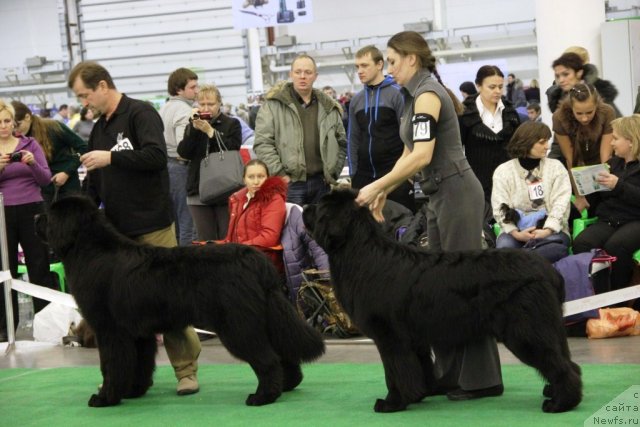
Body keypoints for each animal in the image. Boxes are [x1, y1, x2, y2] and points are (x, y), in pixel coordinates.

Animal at [35, 196, 324, 408]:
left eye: (50, 214)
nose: (36, 217)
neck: (91, 250)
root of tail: (255, 259)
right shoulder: (138, 333)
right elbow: (139, 364)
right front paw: (133, 391)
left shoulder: (110, 329)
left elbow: (111, 366)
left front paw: (105, 398)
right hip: (263, 318)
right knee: (282, 353)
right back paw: (286, 385)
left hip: (237, 325)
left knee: (267, 358)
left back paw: (263, 397)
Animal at [302, 190, 584, 414]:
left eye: (320, 207)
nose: (304, 206)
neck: (360, 253)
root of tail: (548, 269)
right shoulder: (413, 339)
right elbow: (418, 367)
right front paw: (417, 394)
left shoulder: (390, 336)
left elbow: (394, 372)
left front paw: (392, 403)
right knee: (568, 361)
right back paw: (554, 393)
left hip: (525, 330)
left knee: (560, 365)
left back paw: (560, 403)